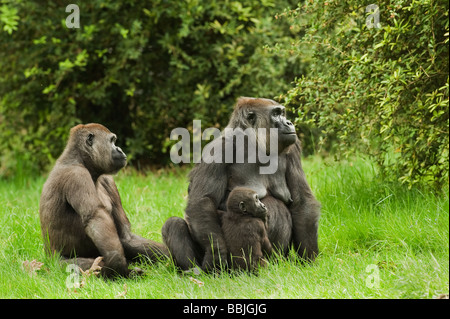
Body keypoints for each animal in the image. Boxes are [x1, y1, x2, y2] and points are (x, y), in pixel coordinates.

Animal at [39, 124, 170, 278]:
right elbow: (95, 216)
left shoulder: (108, 179)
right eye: (112, 141)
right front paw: (118, 267)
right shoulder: (76, 175)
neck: (79, 159)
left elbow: (125, 236)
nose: (119, 149)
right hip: (56, 263)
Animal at [162, 96, 320, 272]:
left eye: (282, 113)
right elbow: (202, 201)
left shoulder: (293, 146)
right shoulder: (218, 149)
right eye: (276, 114)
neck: (252, 142)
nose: (289, 122)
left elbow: (302, 200)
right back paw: (193, 269)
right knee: (173, 224)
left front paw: (309, 258)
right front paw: (217, 254)